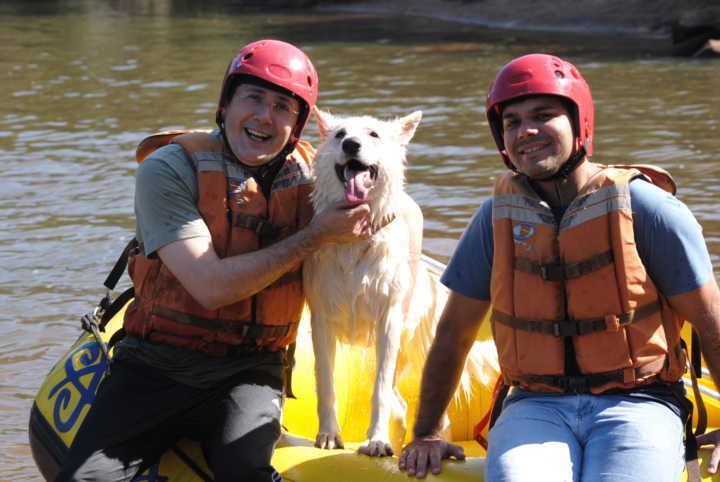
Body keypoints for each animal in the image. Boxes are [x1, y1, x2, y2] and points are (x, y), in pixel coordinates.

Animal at [304, 108, 496, 456]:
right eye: (340, 135)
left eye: (373, 134)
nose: (351, 145)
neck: (356, 237)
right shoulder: (322, 319)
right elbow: (325, 383)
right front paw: (328, 435)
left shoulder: (388, 322)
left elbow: (379, 390)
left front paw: (377, 441)